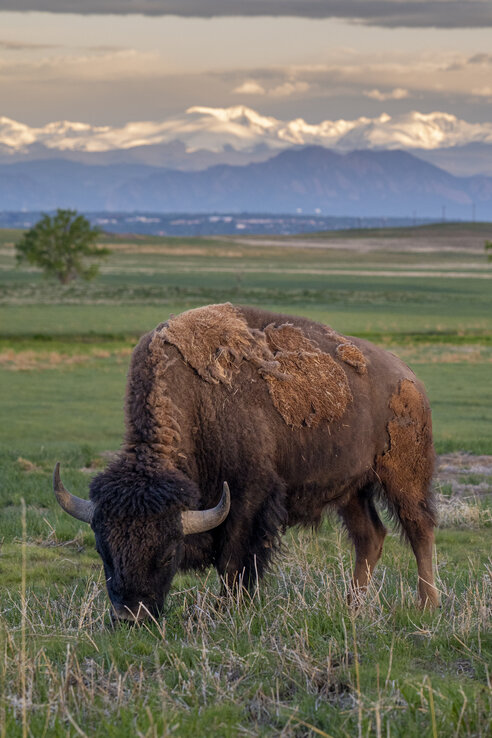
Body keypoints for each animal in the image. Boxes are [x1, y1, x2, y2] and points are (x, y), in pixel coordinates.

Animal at [54, 304, 439, 621]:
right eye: (104, 551)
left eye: (166, 553)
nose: (129, 617)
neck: (198, 405)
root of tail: (409, 377)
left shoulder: (248, 497)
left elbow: (233, 558)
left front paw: (227, 609)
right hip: (352, 490)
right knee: (369, 537)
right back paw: (352, 606)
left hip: (403, 476)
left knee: (420, 529)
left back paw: (426, 605)